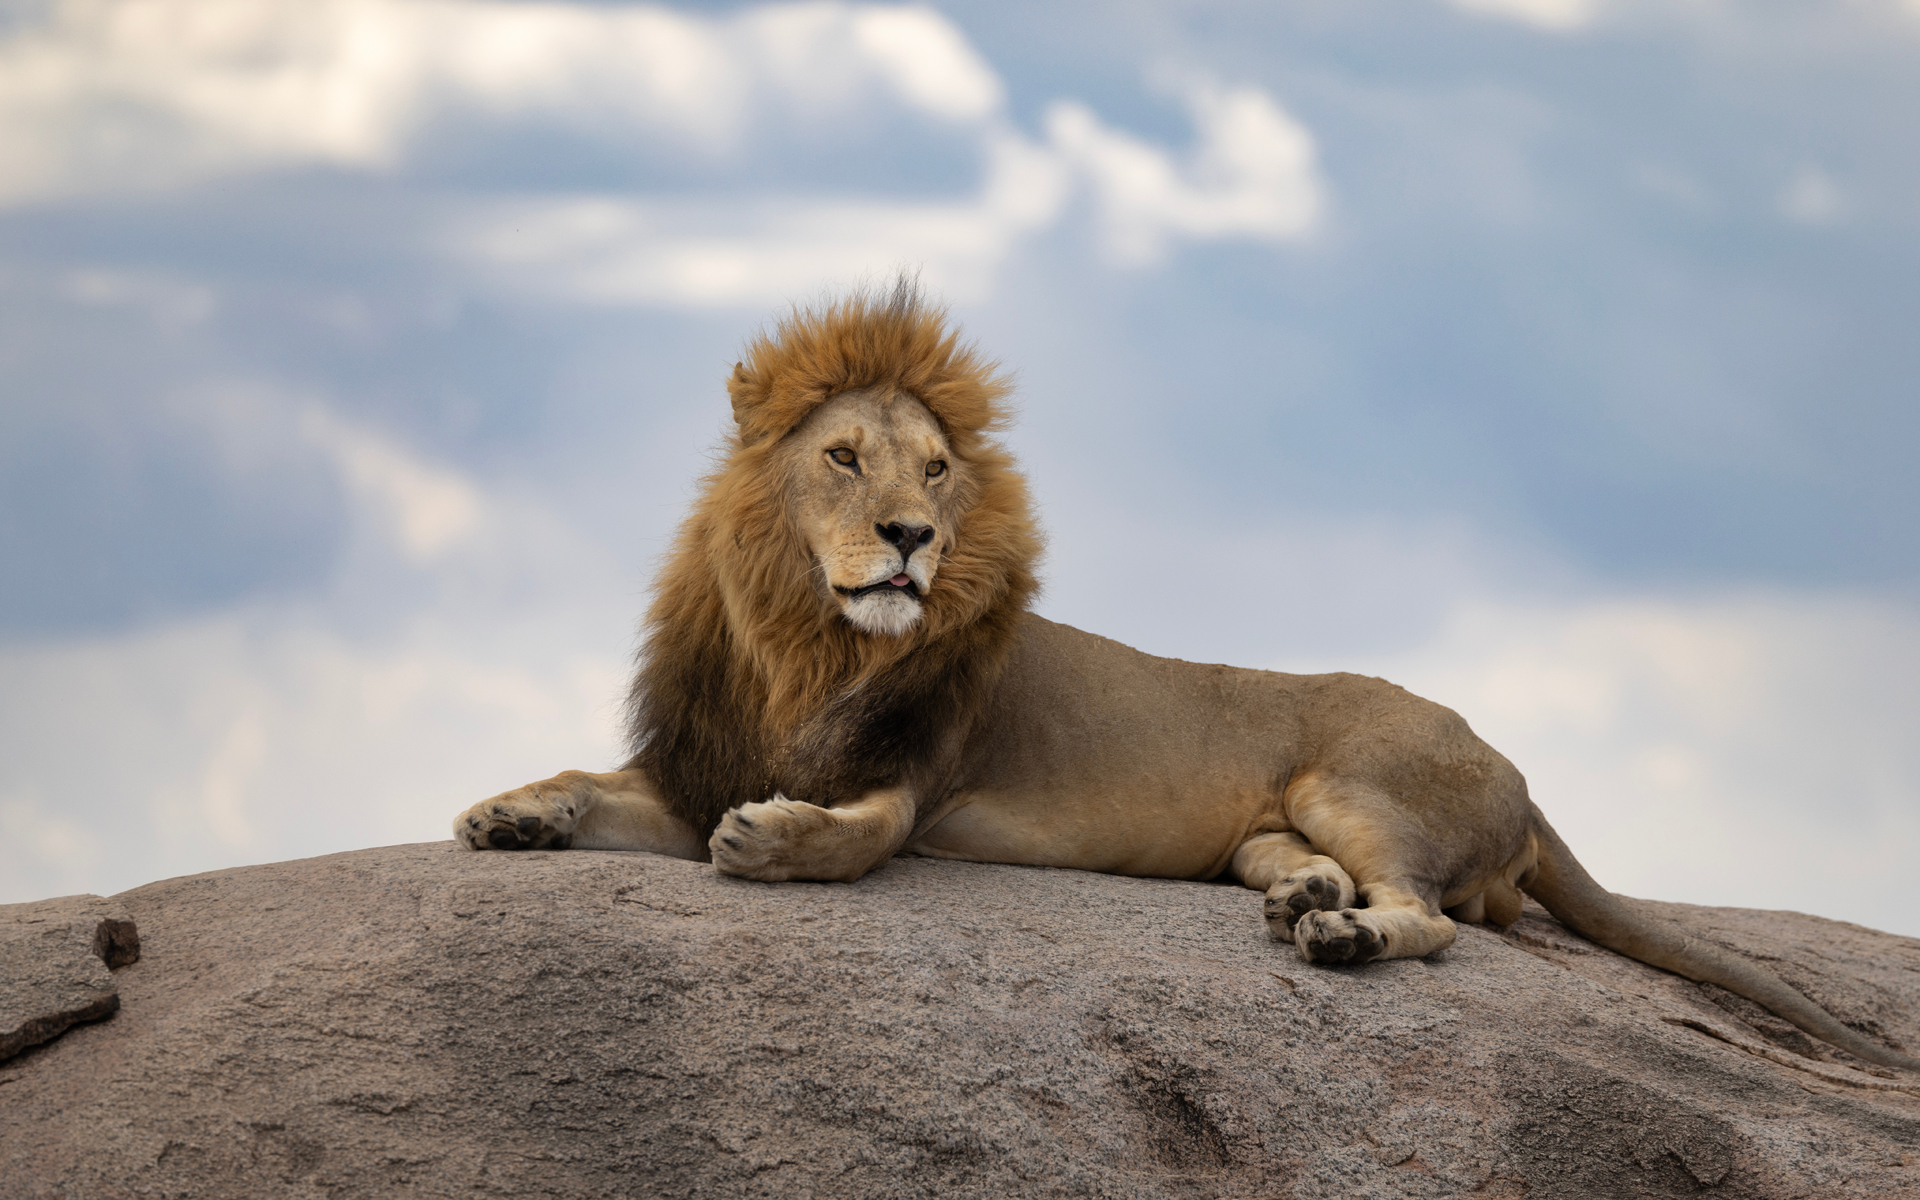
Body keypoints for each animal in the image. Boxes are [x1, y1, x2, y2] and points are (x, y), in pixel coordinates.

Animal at [456, 281, 1915, 1072]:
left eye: (937, 470)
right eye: (843, 457)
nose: (914, 538)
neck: (803, 639)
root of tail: (1516, 765)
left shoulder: (908, 789)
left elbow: (844, 841)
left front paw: (767, 845)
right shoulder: (690, 764)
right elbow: (588, 784)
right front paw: (506, 814)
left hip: (1352, 777)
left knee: (1436, 921)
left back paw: (1344, 933)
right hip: (1275, 824)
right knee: (1324, 877)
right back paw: (1309, 902)